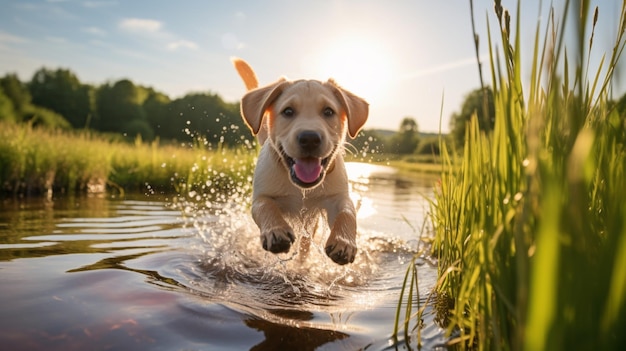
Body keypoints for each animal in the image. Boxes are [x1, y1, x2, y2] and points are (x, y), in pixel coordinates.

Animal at [230, 57, 366, 266]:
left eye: (328, 111)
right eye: (288, 111)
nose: (310, 138)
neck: (301, 189)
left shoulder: (337, 196)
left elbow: (347, 212)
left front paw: (344, 242)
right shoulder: (261, 195)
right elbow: (265, 207)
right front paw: (275, 231)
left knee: (305, 246)